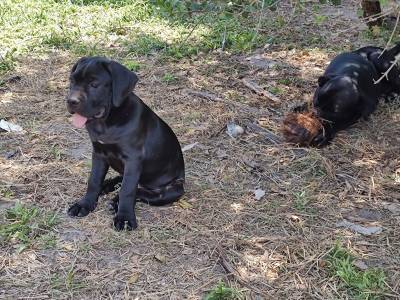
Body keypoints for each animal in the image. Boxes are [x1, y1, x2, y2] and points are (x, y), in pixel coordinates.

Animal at [66, 56, 185, 230]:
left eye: (94, 84)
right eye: (72, 81)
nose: (70, 101)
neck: (107, 122)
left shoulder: (133, 160)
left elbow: (127, 190)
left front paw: (125, 218)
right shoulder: (99, 153)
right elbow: (93, 180)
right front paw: (84, 204)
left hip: (173, 190)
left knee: (140, 192)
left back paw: (116, 201)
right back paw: (107, 186)